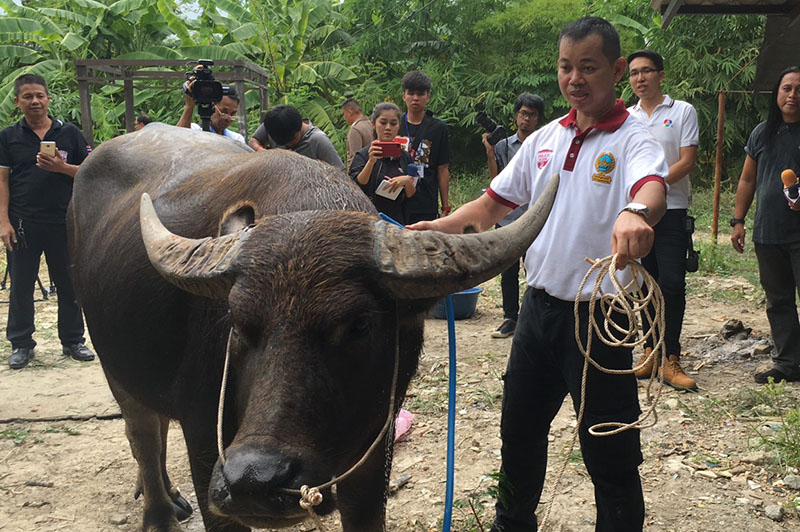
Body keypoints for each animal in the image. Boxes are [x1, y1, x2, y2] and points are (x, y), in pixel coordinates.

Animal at [67, 122, 556, 528]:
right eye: (237, 323)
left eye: (358, 326)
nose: (254, 480)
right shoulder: (206, 440)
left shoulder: (374, 444)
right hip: (114, 365)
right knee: (143, 433)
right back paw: (158, 512)